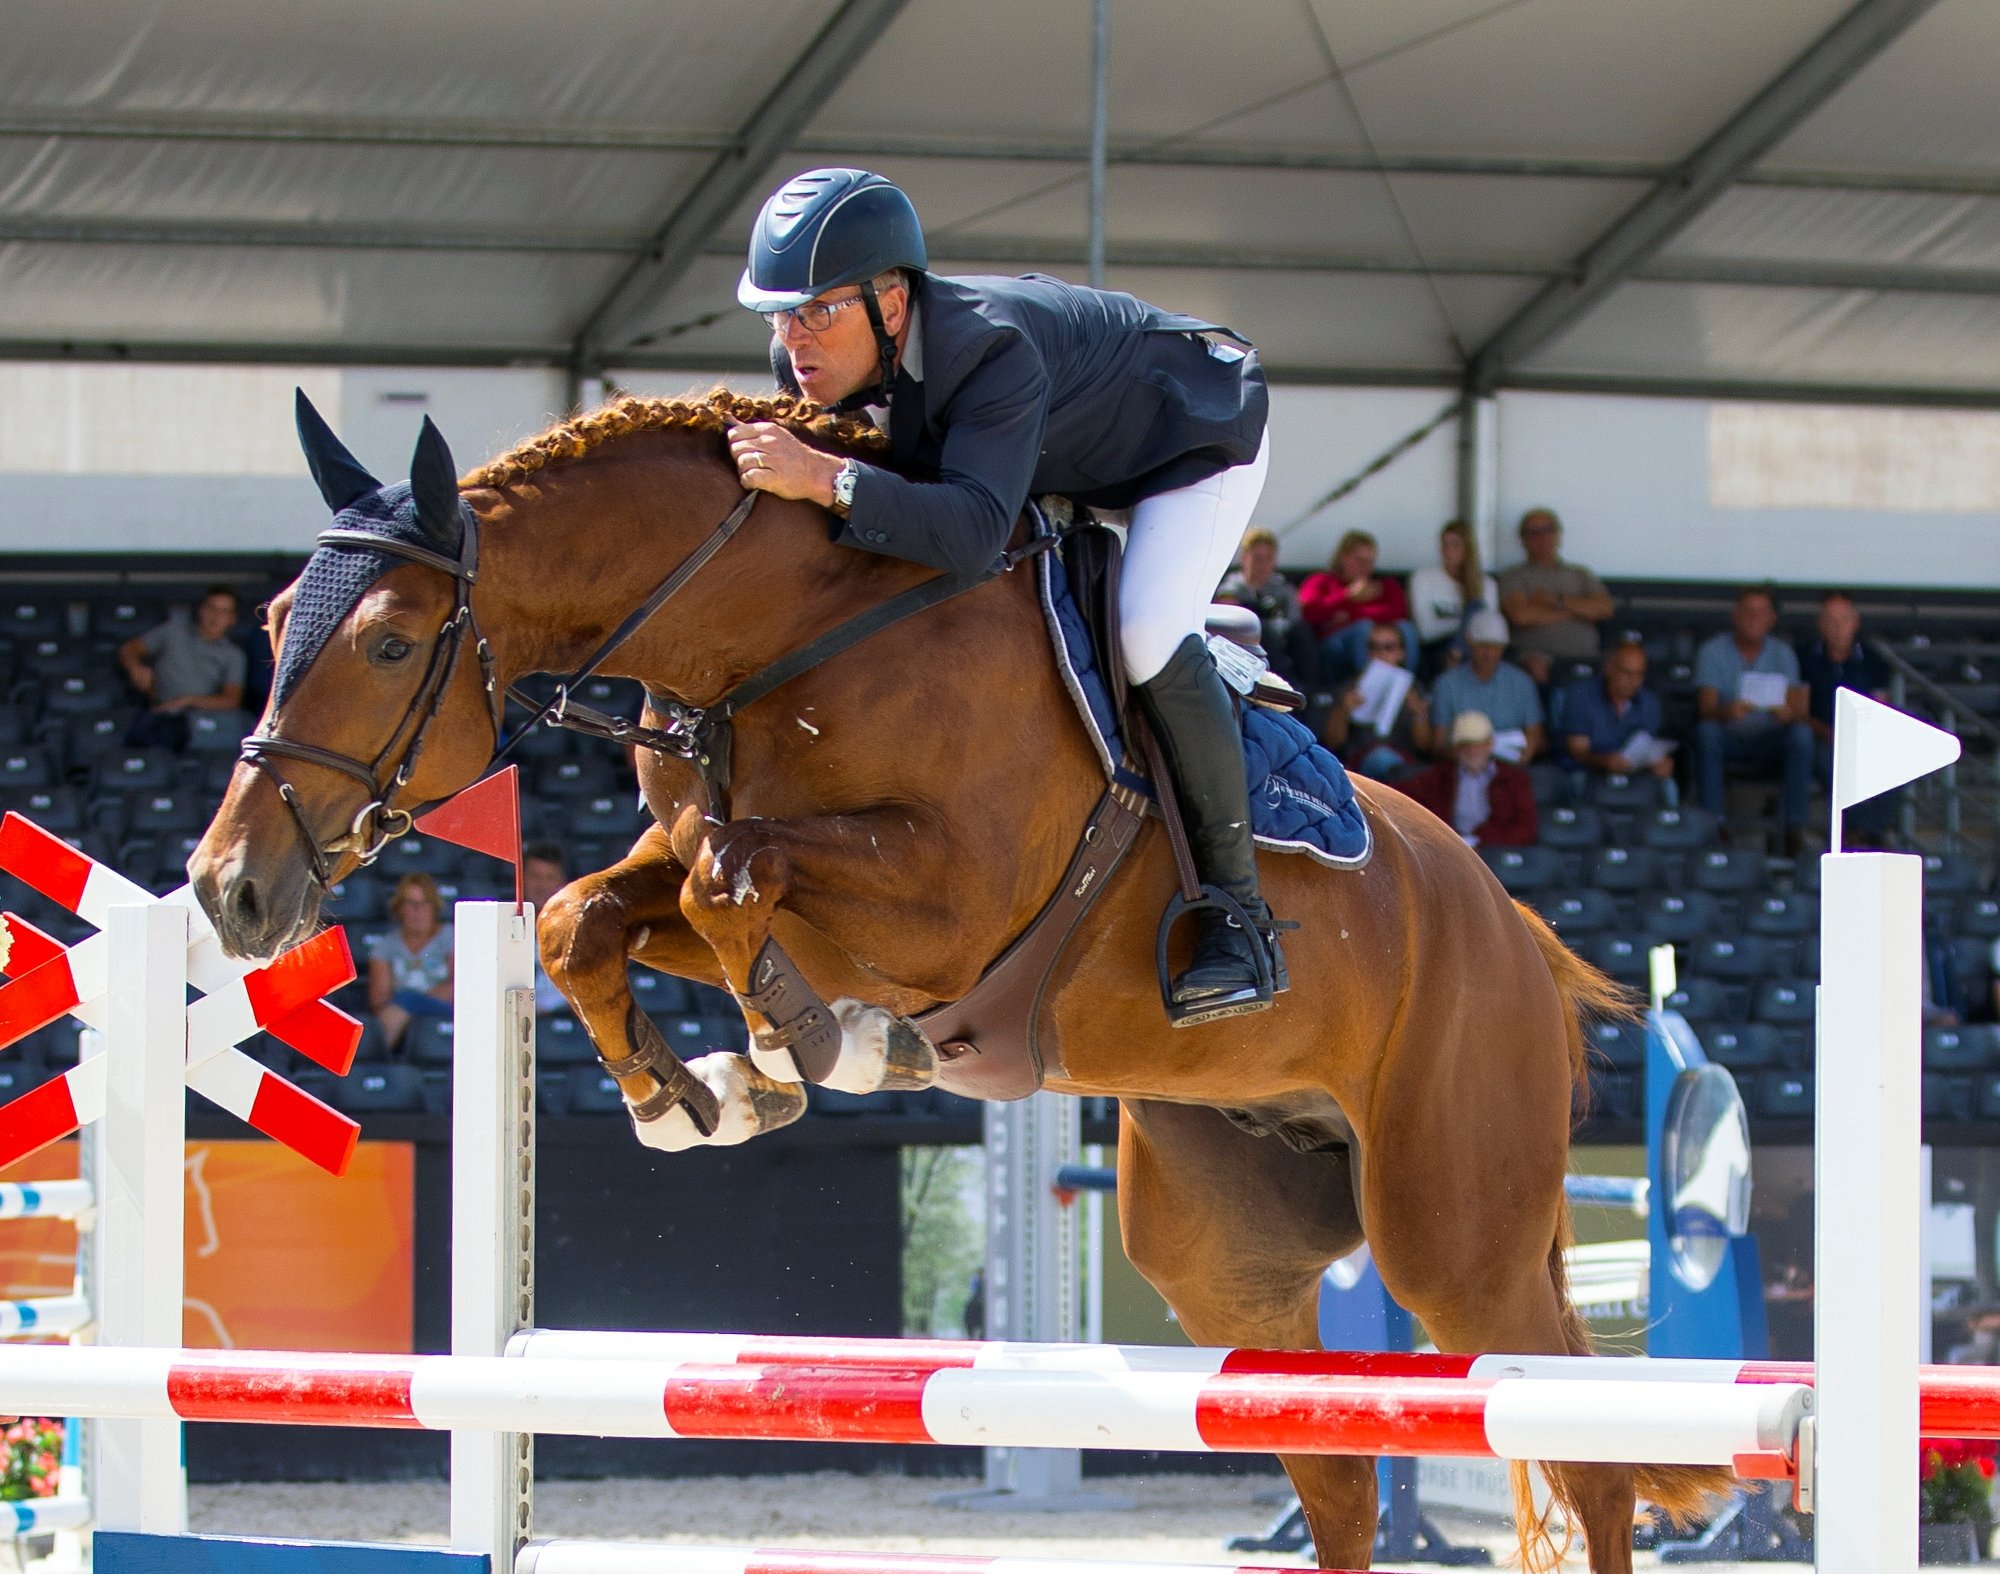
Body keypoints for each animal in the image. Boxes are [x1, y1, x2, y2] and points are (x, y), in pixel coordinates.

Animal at [188, 390, 1720, 1560]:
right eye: (268, 624)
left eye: (391, 639)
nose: (229, 887)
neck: (783, 636)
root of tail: (1516, 928)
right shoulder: (735, 872)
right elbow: (593, 911)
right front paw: (698, 1092)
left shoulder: (948, 895)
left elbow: (729, 874)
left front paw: (818, 1046)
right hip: (1231, 1255)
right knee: (1337, 1476)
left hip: (1450, 1229)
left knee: (1585, 1453)